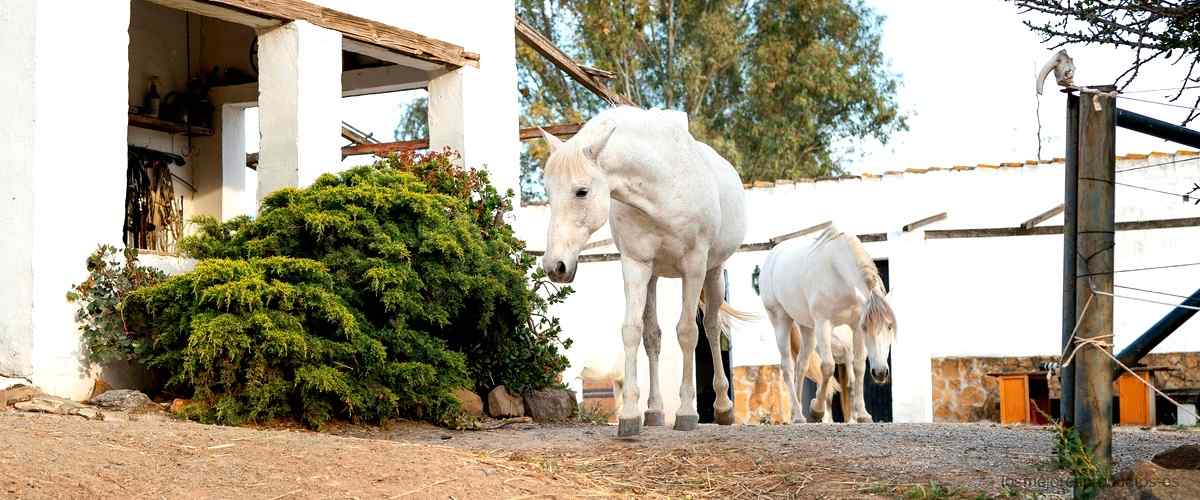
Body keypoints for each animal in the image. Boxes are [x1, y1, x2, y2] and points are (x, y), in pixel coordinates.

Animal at [537, 105, 744, 436]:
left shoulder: (694, 266)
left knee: (712, 329)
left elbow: (688, 332)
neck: (662, 186)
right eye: (548, 192)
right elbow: (633, 331)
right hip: (654, 277)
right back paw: (655, 410)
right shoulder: (635, 265)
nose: (555, 266)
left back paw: (723, 407)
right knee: (653, 337)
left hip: (713, 273)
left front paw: (687, 412)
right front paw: (631, 415)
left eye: (581, 191)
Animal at [763, 225, 897, 422]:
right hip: (781, 320)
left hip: (807, 329)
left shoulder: (854, 327)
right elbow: (827, 367)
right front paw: (816, 410)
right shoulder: (824, 324)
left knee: (801, 365)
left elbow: (858, 367)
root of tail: (772, 256)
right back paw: (800, 416)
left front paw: (862, 414)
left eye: (889, 326)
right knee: (787, 367)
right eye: (867, 328)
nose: (880, 373)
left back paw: (797, 413)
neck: (837, 272)